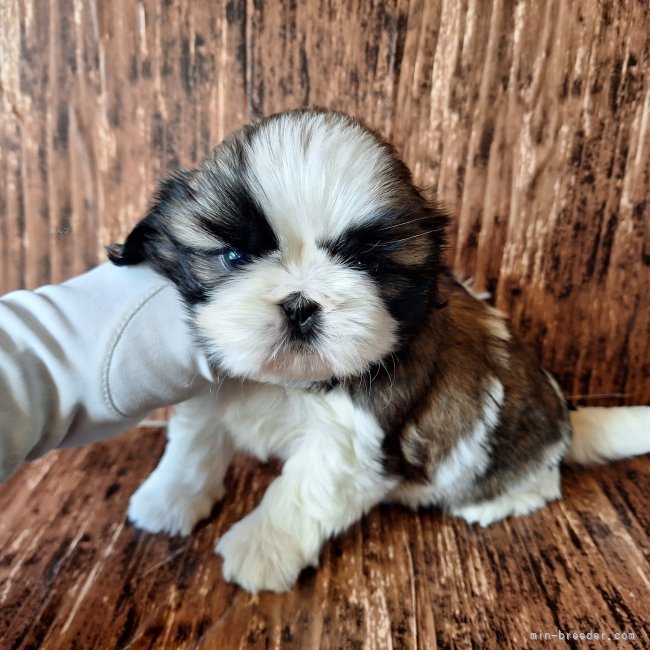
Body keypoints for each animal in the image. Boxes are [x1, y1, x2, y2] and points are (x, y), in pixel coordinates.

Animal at [107, 107, 648, 592]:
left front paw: (261, 547)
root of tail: (566, 418)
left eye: (367, 263)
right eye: (234, 256)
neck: (289, 382)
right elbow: (195, 442)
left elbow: (303, 490)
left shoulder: (353, 442)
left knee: (537, 483)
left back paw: (497, 500)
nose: (300, 304)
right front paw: (170, 496)